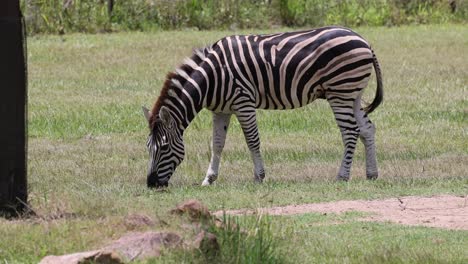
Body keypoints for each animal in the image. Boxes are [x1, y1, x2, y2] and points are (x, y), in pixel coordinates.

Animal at [143, 26, 384, 188]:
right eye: (148, 147)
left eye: (164, 147)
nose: (151, 183)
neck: (212, 78)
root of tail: (363, 40)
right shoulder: (221, 109)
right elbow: (217, 144)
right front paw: (209, 179)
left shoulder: (243, 103)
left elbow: (252, 140)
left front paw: (259, 176)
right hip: (353, 94)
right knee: (367, 129)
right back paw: (372, 173)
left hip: (340, 92)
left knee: (350, 132)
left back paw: (342, 176)